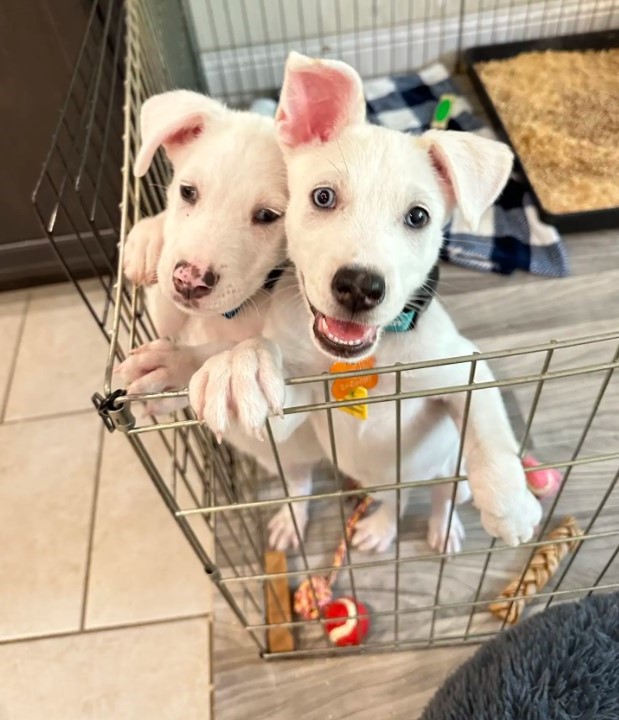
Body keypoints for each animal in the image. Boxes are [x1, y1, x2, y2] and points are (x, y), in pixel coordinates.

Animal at [120, 90, 324, 552]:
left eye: (268, 215)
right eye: (187, 191)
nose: (190, 281)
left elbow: (240, 353)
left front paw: (234, 367)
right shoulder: (169, 313)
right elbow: (166, 313)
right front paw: (149, 237)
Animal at [189, 53, 544, 556]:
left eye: (418, 217)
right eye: (322, 196)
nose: (359, 286)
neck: (363, 361)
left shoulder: (461, 366)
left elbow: (488, 425)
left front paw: (511, 501)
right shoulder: (297, 407)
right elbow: (267, 373)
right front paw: (242, 368)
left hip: (439, 465)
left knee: (439, 492)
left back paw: (442, 525)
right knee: (387, 501)